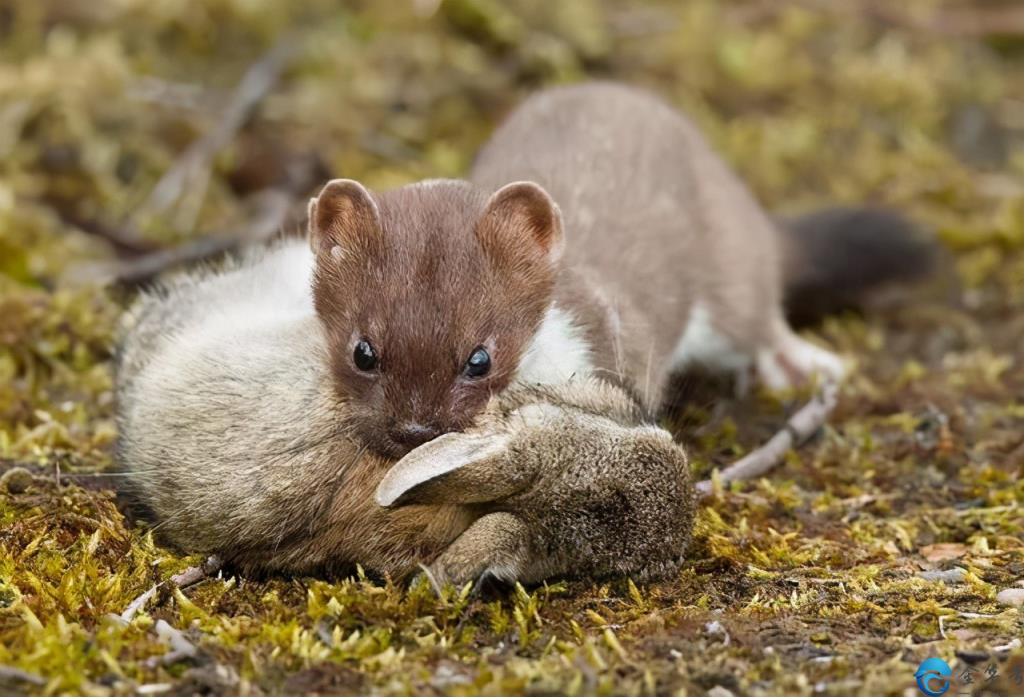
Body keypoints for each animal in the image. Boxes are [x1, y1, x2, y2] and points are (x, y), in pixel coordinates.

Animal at [307, 81, 933, 456]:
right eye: (363, 352)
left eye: (479, 358)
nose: (415, 432)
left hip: (733, 272)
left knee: (759, 312)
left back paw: (794, 362)